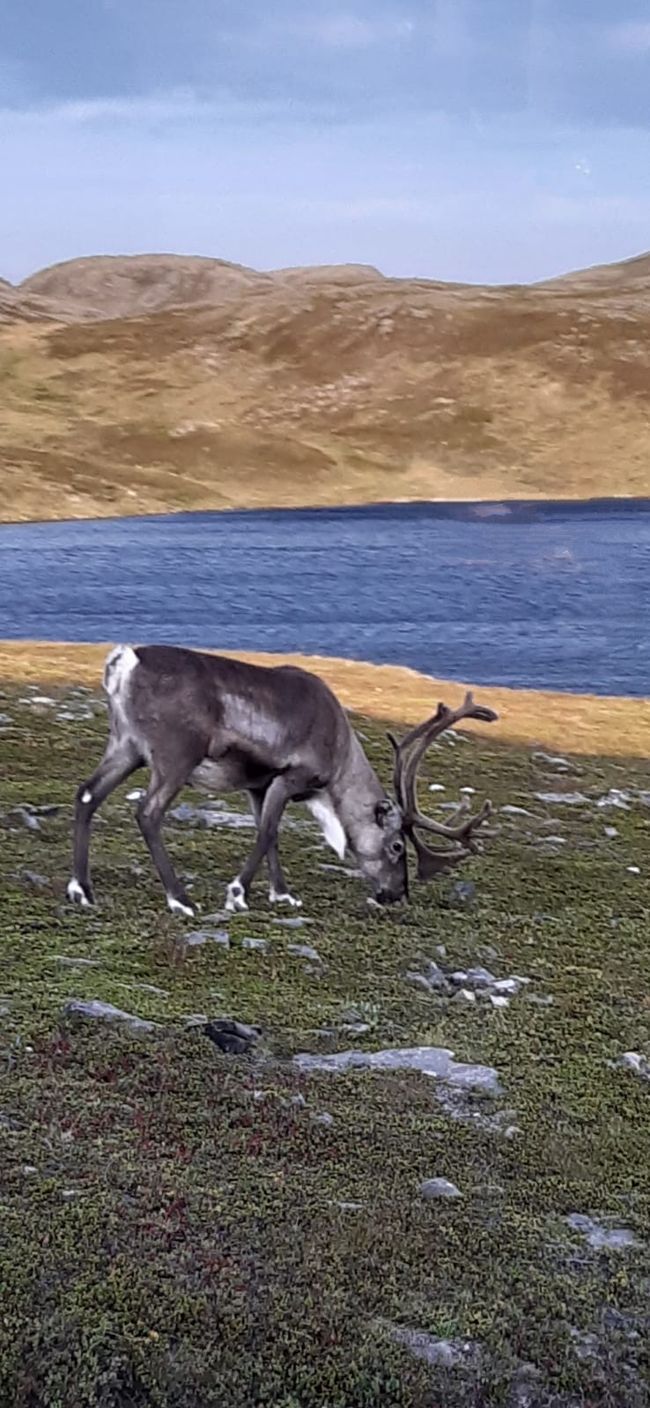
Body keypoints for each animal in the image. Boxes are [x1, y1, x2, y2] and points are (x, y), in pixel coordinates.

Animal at [66, 643, 497, 917]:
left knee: (87, 794)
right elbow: (269, 832)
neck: (339, 757)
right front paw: (238, 894)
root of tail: (124, 661)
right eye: (396, 846)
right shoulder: (290, 777)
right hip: (175, 755)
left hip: (126, 745)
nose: (397, 895)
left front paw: (282, 894)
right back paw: (181, 900)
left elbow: (267, 832)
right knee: (148, 812)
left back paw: (81, 890)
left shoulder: (258, 785)